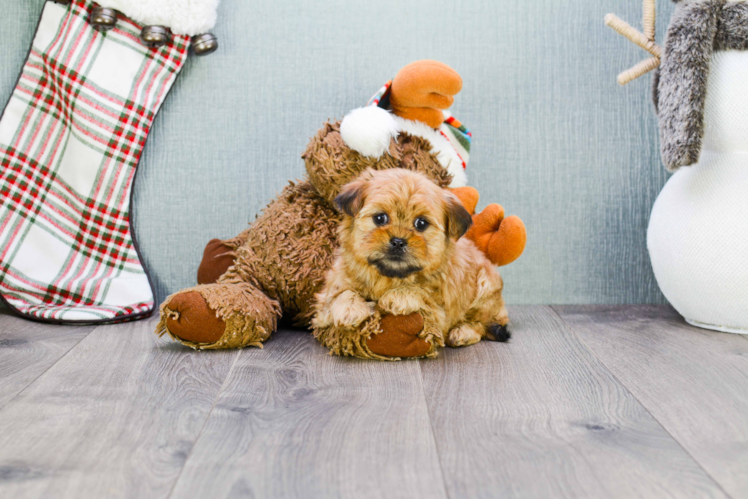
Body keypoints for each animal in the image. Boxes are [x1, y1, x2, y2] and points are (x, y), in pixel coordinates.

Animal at [312, 168, 512, 352]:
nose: (398, 241)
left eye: (421, 223)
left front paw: (397, 296)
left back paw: (463, 332)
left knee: (481, 323)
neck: (389, 277)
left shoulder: (438, 312)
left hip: (486, 287)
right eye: (380, 218)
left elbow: (422, 292)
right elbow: (340, 292)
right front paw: (349, 309)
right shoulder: (327, 295)